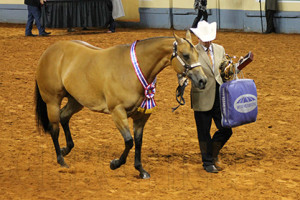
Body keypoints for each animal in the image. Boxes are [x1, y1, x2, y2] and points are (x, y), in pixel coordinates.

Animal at [34, 30, 206, 179]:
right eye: (185, 55)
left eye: (198, 54)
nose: (202, 81)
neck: (132, 70)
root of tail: (49, 51)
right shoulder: (117, 111)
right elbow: (129, 141)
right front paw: (115, 163)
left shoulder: (141, 116)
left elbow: (138, 141)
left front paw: (141, 170)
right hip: (52, 101)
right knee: (54, 128)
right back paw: (61, 160)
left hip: (76, 101)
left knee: (63, 117)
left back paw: (66, 150)